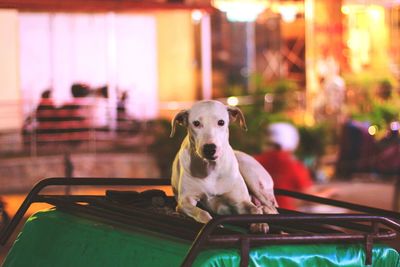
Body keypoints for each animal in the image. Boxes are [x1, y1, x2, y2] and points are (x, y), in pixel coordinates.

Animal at [170, 99, 278, 233]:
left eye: (221, 122)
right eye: (196, 123)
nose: (210, 148)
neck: (211, 169)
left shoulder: (241, 201)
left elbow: (254, 209)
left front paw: (259, 222)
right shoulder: (184, 202)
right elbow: (202, 213)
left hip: (251, 176)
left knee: (272, 208)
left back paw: (265, 209)